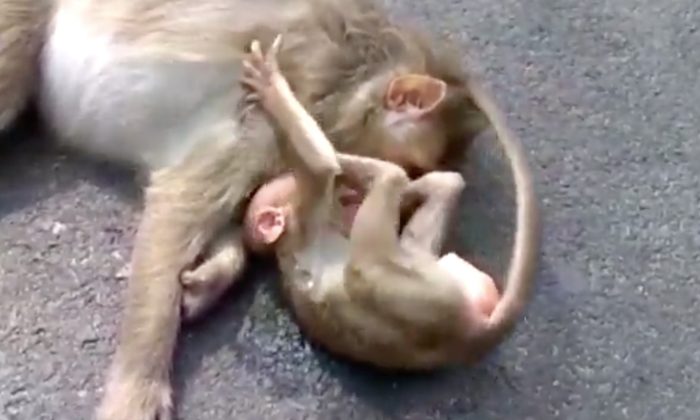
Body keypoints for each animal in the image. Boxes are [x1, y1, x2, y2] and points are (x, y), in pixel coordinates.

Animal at [0, 0, 538, 417]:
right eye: (410, 166)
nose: (392, 199)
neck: (346, 83)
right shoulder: (260, 118)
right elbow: (181, 202)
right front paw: (137, 391)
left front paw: (211, 276)